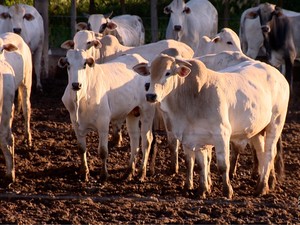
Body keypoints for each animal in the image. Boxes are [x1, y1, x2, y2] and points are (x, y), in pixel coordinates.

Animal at [57, 49, 155, 183]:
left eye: (84, 64)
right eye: (68, 64)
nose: (76, 85)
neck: (80, 99)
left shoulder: (103, 123)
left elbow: (103, 151)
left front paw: (104, 175)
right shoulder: (76, 124)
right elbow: (81, 149)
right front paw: (84, 173)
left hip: (147, 112)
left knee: (147, 141)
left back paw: (141, 173)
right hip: (132, 113)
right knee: (134, 140)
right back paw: (128, 172)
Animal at [134, 52, 288, 199]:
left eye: (168, 72)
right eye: (149, 72)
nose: (151, 96)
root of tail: (277, 74)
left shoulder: (222, 134)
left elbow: (223, 165)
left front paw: (227, 191)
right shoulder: (195, 138)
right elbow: (201, 164)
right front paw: (202, 190)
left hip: (276, 123)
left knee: (269, 154)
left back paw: (262, 188)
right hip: (257, 130)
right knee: (261, 153)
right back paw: (263, 184)